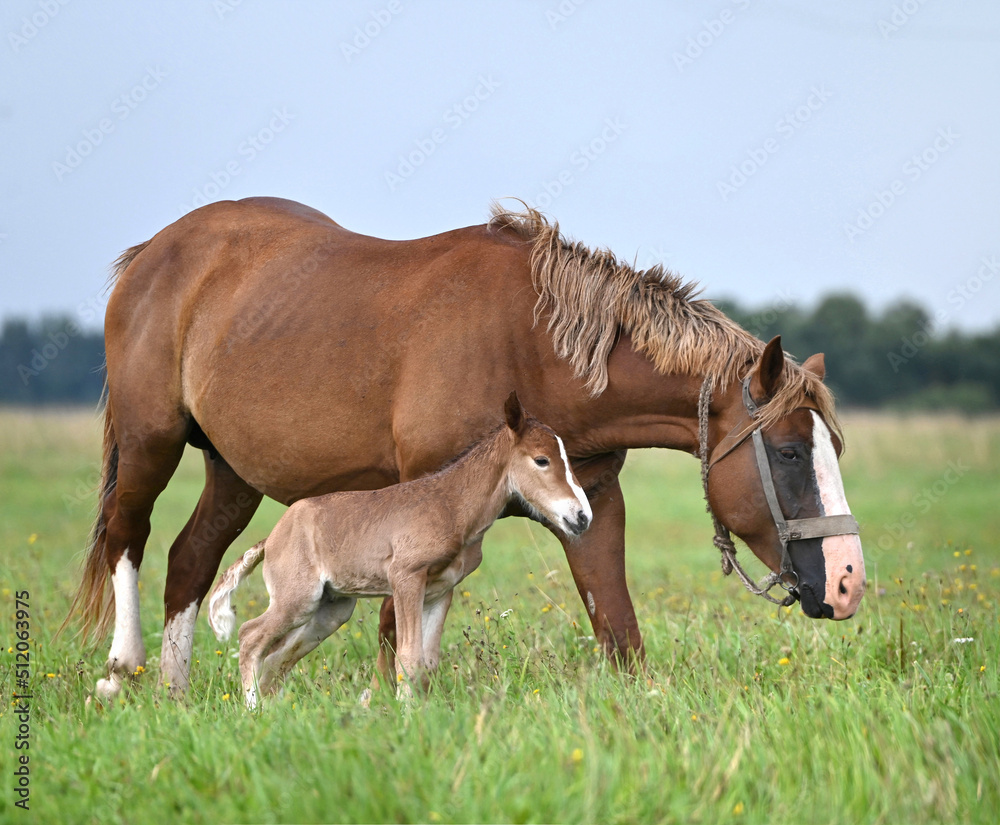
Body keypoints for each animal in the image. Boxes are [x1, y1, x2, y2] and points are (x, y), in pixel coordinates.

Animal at [206, 392, 591, 708]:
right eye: (541, 460)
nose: (581, 516)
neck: (452, 505)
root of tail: (271, 540)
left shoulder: (440, 591)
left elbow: (428, 662)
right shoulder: (406, 578)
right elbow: (408, 657)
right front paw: (409, 721)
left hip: (331, 609)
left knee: (276, 657)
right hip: (297, 598)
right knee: (250, 636)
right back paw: (253, 711)